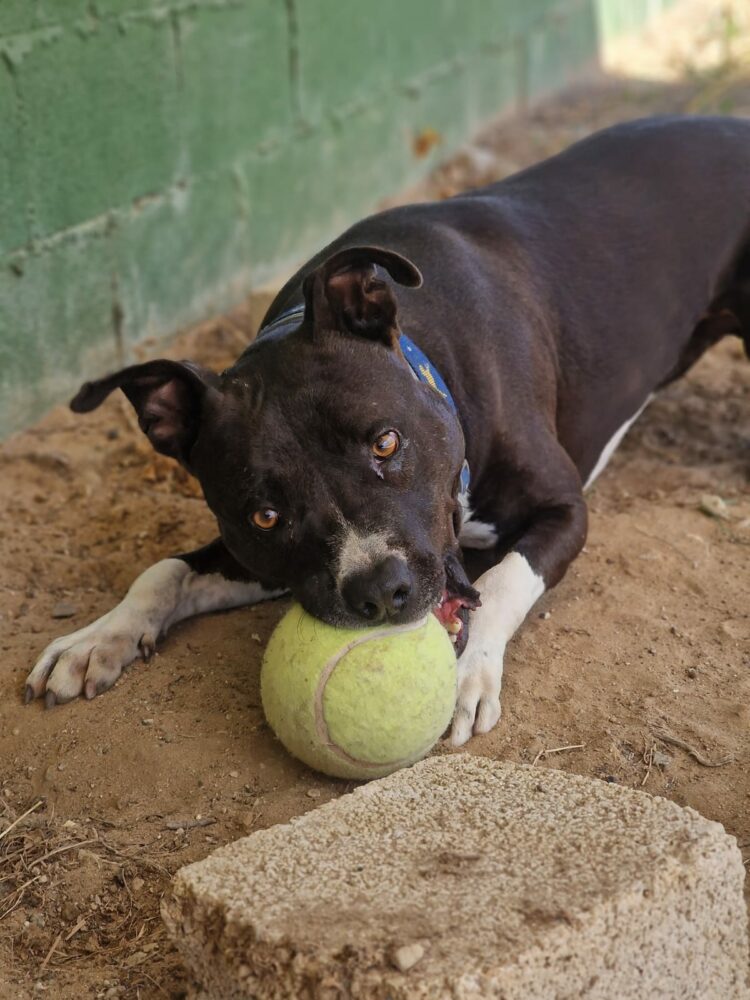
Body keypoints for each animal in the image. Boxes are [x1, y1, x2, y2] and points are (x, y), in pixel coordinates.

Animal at [23, 115, 750, 744]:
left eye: (386, 442)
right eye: (264, 515)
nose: (381, 592)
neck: (432, 359)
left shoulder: (563, 508)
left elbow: (503, 581)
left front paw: (466, 671)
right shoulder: (268, 561)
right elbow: (165, 569)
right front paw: (98, 637)